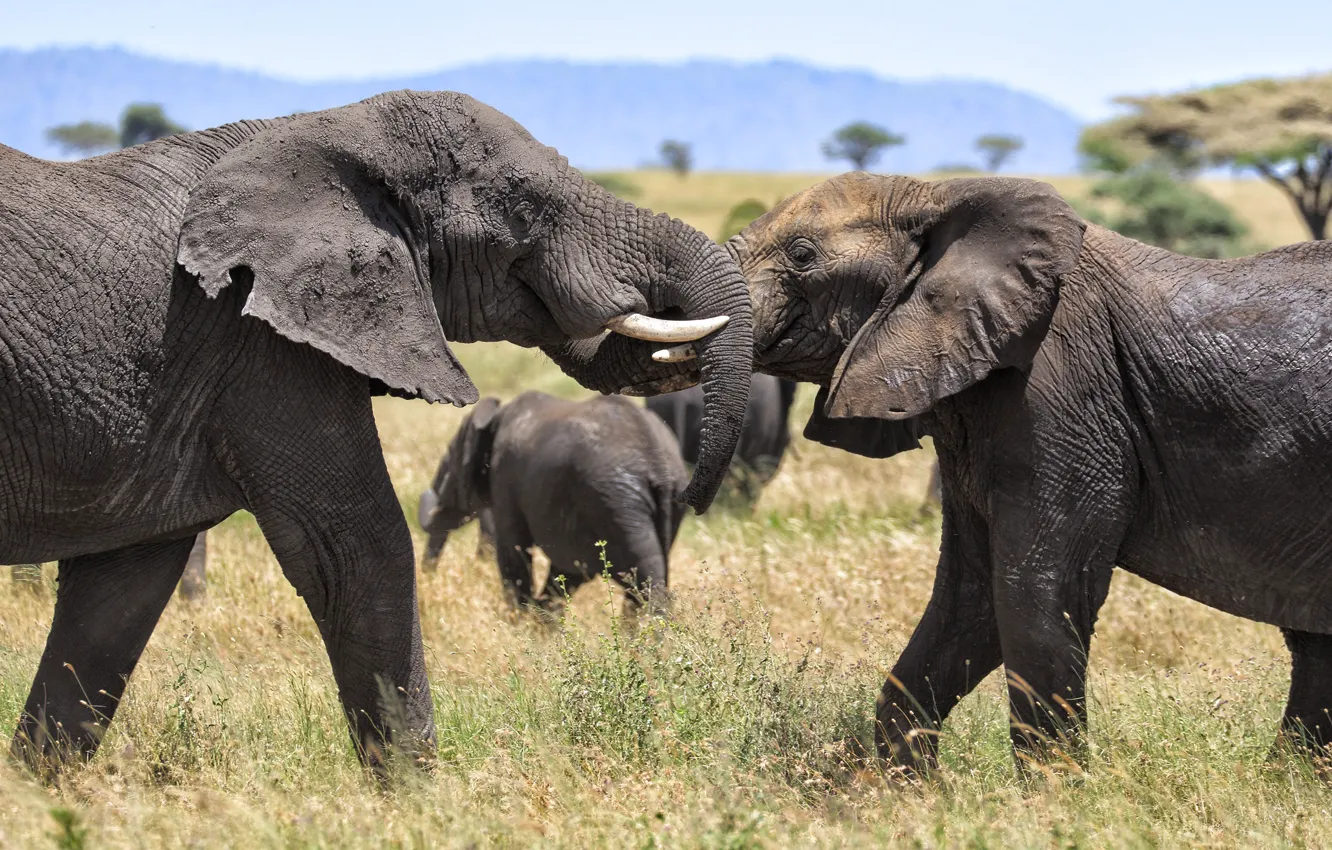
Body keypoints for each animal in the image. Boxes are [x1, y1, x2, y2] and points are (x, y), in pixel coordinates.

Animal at [417, 392, 688, 615]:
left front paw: (522, 623)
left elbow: (513, 550)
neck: (495, 416)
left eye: (446, 465)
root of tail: (658, 464)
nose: (428, 581)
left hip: (615, 504)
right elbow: (566, 569)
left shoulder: (504, 477)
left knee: (644, 584)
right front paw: (541, 621)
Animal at [725, 171, 1332, 773]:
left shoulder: (1060, 395)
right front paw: (914, 789)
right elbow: (969, 600)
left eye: (802, 255)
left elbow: (1035, 595)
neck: (940, 193)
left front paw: (1055, 793)